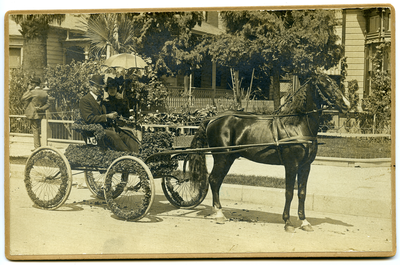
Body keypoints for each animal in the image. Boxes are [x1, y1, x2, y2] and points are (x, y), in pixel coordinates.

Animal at [188, 72, 350, 231]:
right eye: (325, 84)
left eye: (335, 82)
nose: (346, 104)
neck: (297, 125)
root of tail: (212, 118)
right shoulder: (291, 165)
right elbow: (289, 192)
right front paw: (288, 222)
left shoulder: (305, 166)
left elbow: (302, 193)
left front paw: (304, 222)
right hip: (223, 157)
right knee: (214, 180)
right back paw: (219, 214)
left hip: (228, 158)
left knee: (217, 181)